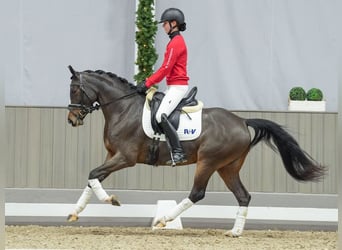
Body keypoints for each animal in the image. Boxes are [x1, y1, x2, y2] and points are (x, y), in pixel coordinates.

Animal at [67, 66, 326, 236]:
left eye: (75, 91)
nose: (72, 120)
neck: (124, 108)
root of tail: (242, 121)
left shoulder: (125, 157)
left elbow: (93, 174)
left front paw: (111, 200)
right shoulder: (112, 156)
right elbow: (93, 178)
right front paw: (75, 212)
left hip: (208, 162)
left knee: (197, 193)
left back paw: (163, 220)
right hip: (227, 167)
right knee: (243, 196)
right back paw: (235, 232)